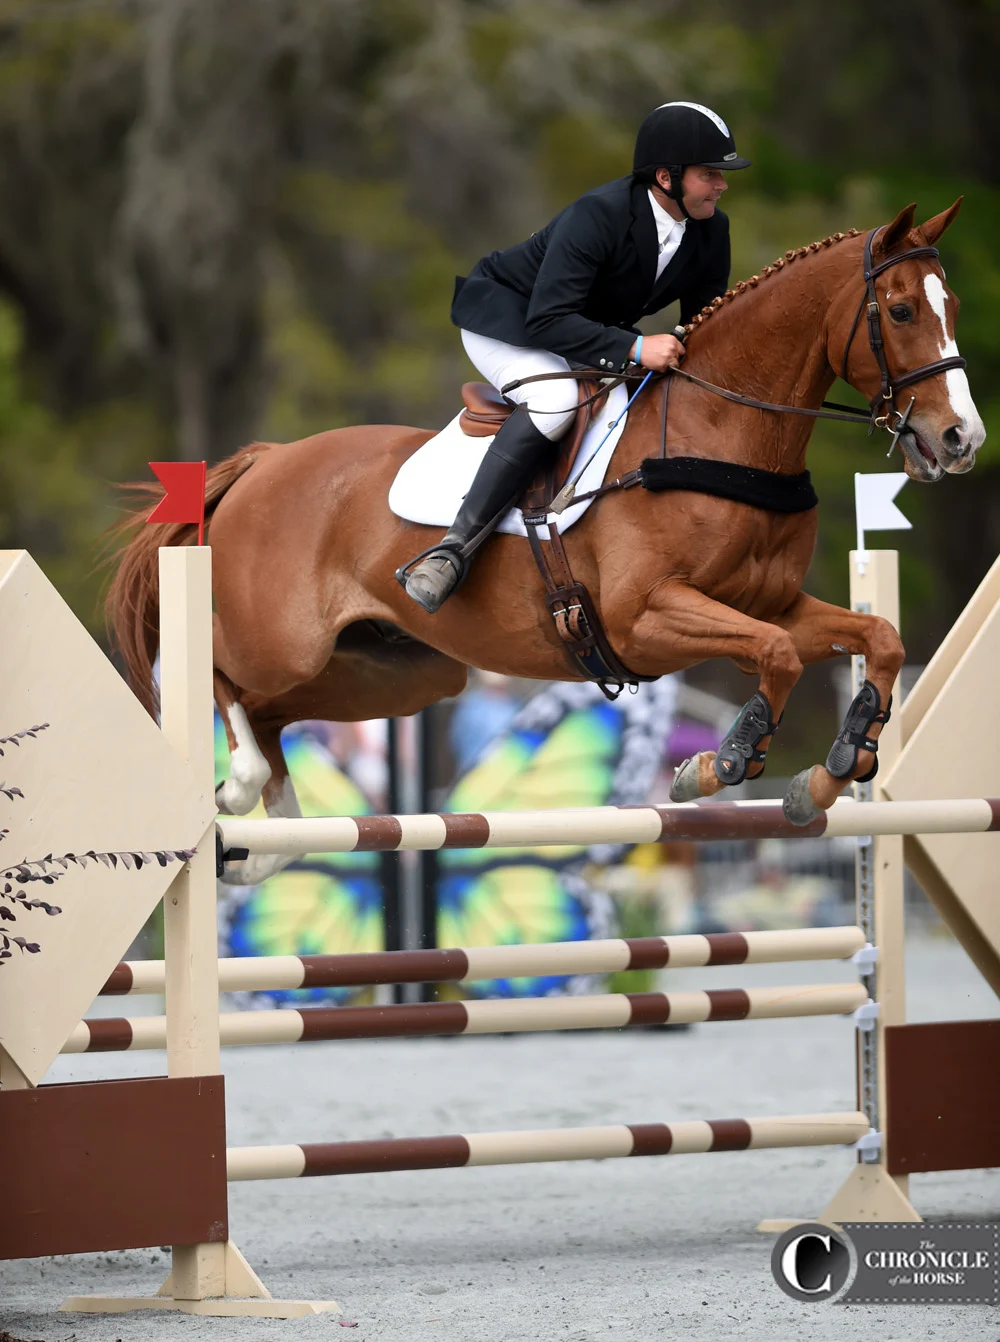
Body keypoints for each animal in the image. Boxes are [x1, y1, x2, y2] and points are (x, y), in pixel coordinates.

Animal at [105, 203, 977, 885]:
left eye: (954, 305)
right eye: (901, 311)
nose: (961, 440)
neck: (723, 431)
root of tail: (263, 462)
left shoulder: (771, 602)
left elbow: (875, 638)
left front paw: (833, 771)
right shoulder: (646, 618)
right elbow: (778, 655)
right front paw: (717, 766)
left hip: (397, 674)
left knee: (273, 712)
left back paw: (273, 837)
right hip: (282, 641)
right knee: (221, 675)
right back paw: (237, 791)